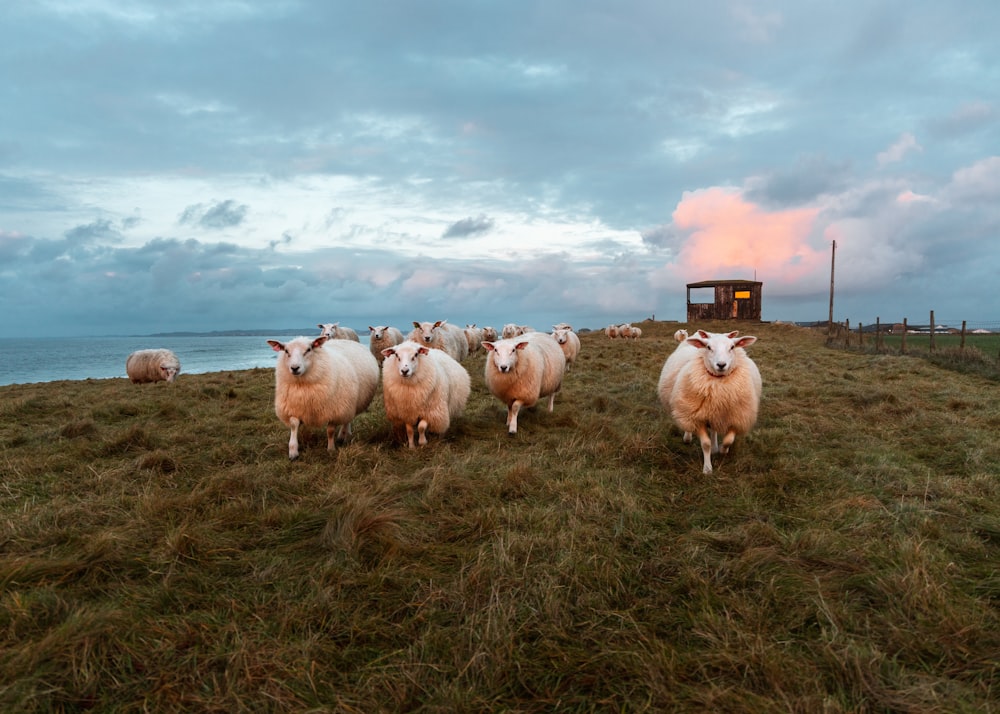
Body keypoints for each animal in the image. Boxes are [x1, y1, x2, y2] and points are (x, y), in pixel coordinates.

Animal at [664, 328, 764, 472]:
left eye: (732, 347)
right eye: (708, 347)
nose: (721, 365)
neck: (718, 386)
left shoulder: (738, 415)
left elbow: (728, 440)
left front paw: (722, 451)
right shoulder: (697, 416)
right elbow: (705, 444)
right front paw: (707, 468)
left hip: (713, 412)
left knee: (714, 430)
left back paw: (715, 447)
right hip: (686, 404)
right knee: (688, 422)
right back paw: (688, 438)